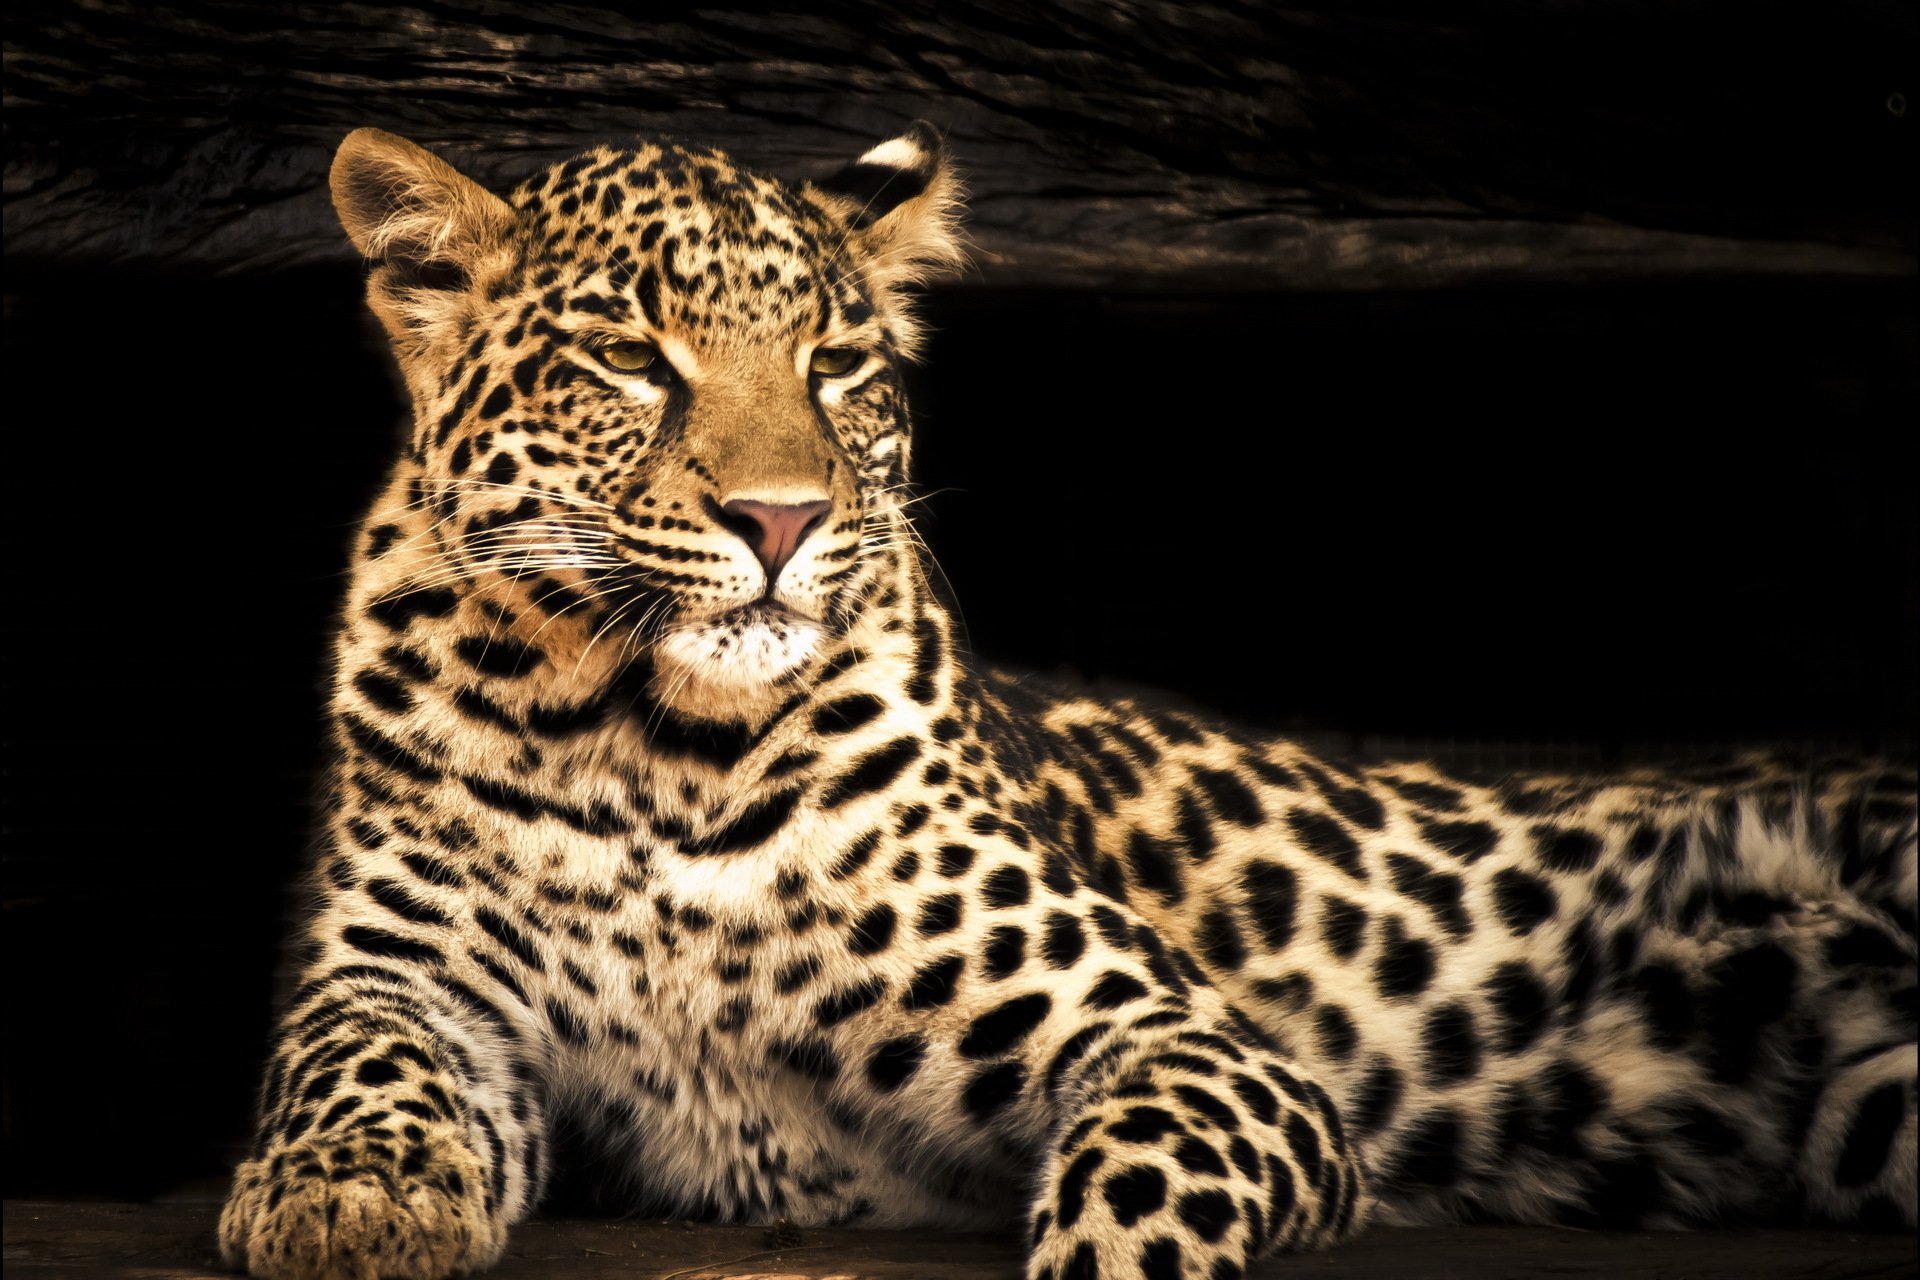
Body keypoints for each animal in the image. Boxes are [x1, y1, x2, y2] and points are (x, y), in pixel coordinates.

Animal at [218, 121, 1918, 1280]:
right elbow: (348, 1067)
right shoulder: (406, 985)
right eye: (630, 359)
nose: (780, 520)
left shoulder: (1187, 1040)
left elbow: (1148, 1172)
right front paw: (341, 1205)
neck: (648, 745)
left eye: (836, 365)